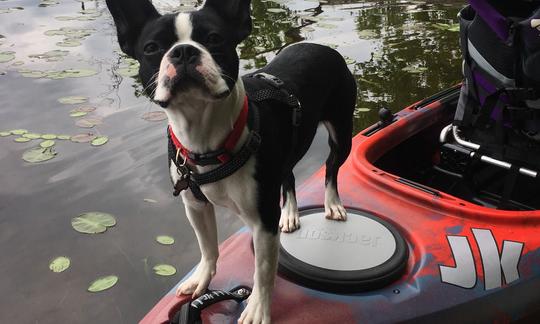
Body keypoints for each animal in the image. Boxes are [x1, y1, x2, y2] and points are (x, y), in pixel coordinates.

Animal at [107, 0, 356, 322]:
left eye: (214, 39)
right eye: (151, 48)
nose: (184, 51)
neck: (205, 140)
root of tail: (320, 46)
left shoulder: (263, 221)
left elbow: (263, 270)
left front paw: (258, 308)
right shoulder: (195, 205)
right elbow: (208, 247)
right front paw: (202, 279)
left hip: (342, 134)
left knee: (331, 168)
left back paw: (332, 203)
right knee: (288, 174)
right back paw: (290, 214)